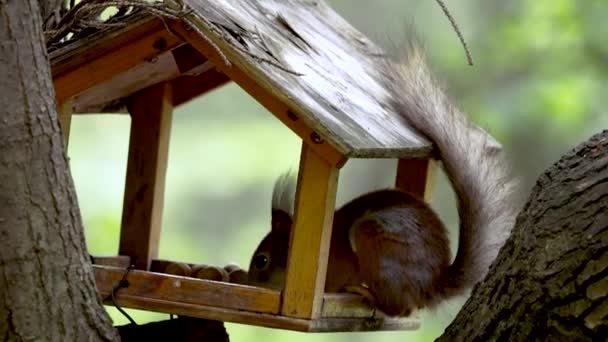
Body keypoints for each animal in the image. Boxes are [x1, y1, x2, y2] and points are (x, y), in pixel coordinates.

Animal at [245, 44, 516, 316]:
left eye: (262, 260)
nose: (248, 282)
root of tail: (432, 286)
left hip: (375, 239)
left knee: (397, 308)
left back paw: (366, 293)